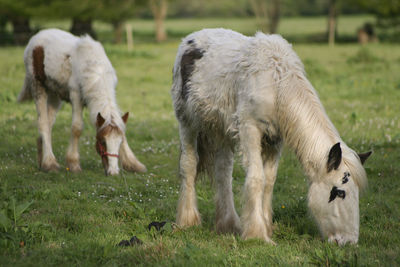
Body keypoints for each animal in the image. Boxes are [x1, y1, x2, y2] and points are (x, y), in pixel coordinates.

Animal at [18, 28, 147, 176]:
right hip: (38, 87)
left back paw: (42, 160)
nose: (113, 172)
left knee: (49, 123)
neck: (95, 70)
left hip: (54, 95)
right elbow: (77, 128)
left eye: (119, 143)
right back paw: (49, 163)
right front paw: (73, 164)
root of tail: (37, 37)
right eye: (102, 141)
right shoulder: (76, 96)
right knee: (43, 123)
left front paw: (133, 164)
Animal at [170, 28, 372, 245]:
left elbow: (269, 181)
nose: (349, 241)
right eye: (339, 192)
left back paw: (228, 225)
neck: (276, 84)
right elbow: (257, 179)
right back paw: (188, 220)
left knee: (223, 172)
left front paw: (266, 227)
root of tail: (191, 38)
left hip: (221, 131)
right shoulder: (249, 129)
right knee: (189, 165)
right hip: (187, 122)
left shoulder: (275, 140)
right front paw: (257, 234)